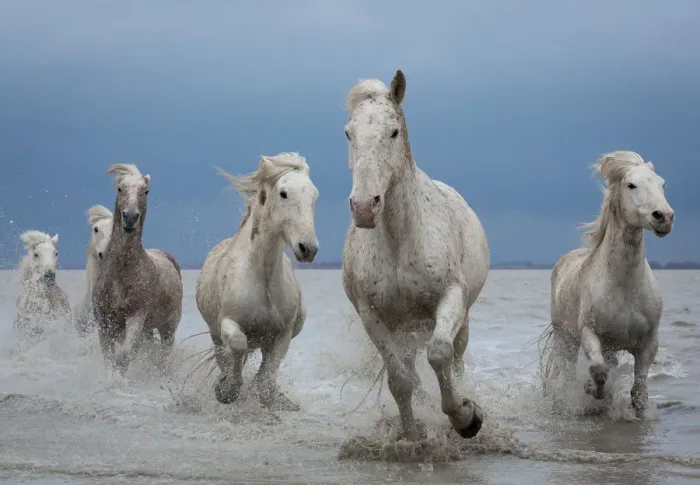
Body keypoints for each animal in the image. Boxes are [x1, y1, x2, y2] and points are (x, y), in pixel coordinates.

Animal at [92, 164, 183, 373]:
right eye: (120, 189)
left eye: (146, 191)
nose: (131, 217)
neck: (121, 273)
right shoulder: (104, 323)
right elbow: (109, 358)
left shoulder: (136, 317)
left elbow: (124, 357)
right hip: (148, 330)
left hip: (168, 328)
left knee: (162, 356)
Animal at [196, 152, 319, 410]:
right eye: (283, 193)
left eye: (314, 195)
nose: (308, 248)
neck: (262, 277)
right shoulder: (229, 323)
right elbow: (238, 346)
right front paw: (226, 390)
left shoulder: (282, 335)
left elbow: (266, 379)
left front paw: (268, 395)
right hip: (214, 333)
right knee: (225, 354)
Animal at [341, 70, 490, 441]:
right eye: (349, 133)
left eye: (393, 132)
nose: (364, 207)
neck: (399, 242)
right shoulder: (372, 316)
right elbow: (400, 381)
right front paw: (412, 436)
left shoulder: (450, 297)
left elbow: (439, 354)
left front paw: (466, 418)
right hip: (404, 329)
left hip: (460, 321)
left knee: (456, 361)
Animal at [540, 151, 674, 418]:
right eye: (631, 185)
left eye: (662, 184)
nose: (664, 217)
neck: (625, 287)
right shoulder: (590, 333)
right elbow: (599, 371)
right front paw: (593, 389)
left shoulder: (648, 342)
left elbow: (639, 392)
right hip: (565, 340)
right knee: (565, 375)